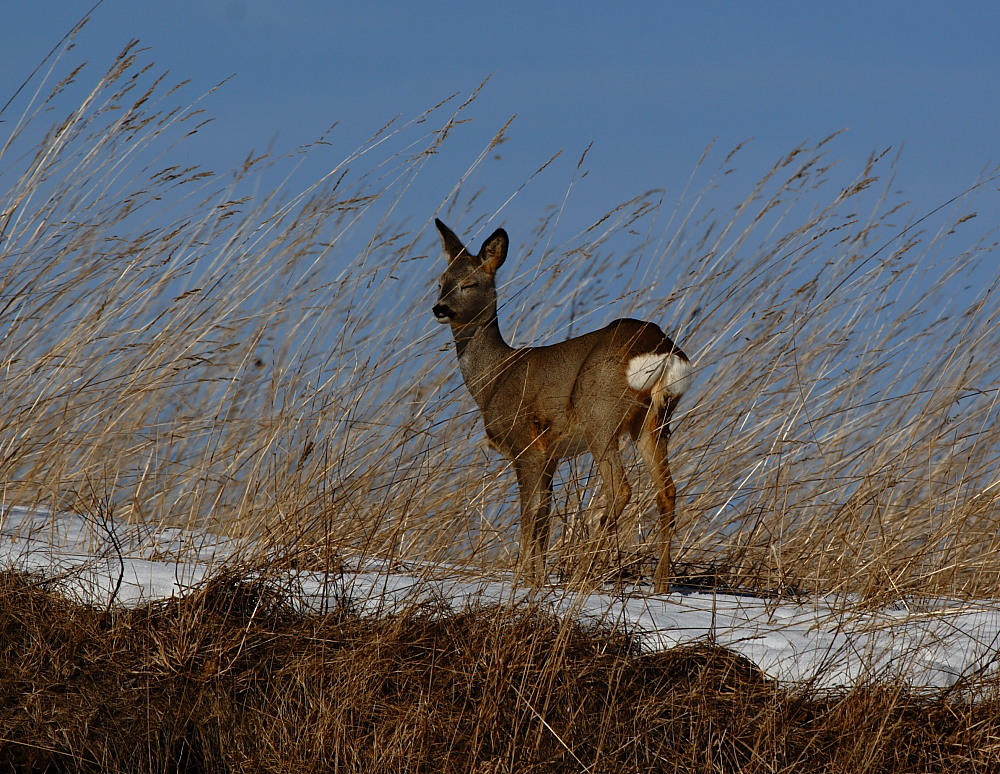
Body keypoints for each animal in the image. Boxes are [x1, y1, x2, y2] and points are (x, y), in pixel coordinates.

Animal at [434, 218, 692, 596]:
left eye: (471, 283)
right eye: (440, 281)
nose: (439, 308)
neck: (494, 378)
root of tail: (662, 347)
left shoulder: (525, 444)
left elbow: (530, 514)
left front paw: (525, 579)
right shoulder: (551, 454)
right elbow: (543, 514)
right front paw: (536, 579)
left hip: (600, 413)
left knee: (621, 488)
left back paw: (583, 576)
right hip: (653, 421)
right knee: (667, 491)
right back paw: (661, 583)